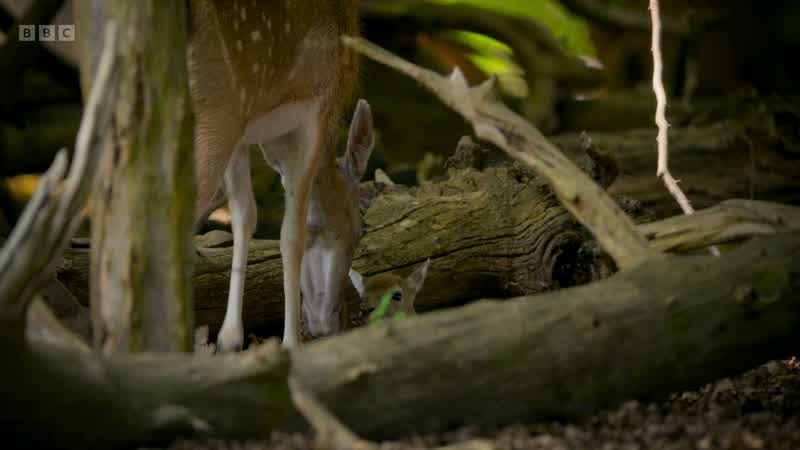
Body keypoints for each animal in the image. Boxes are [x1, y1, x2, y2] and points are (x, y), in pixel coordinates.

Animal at [188, 0, 374, 350]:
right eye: (358, 233)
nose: (333, 324)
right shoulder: (316, 109)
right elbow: (291, 236)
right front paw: (290, 344)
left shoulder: (243, 130)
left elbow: (245, 216)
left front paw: (230, 338)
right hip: (215, 110)